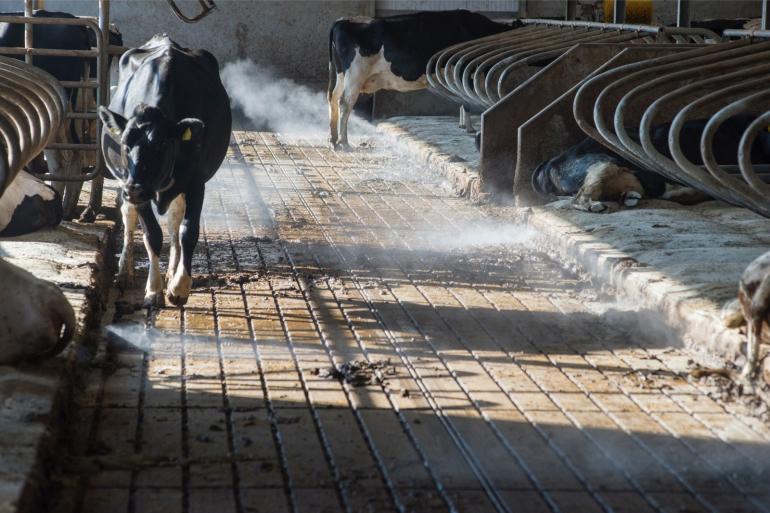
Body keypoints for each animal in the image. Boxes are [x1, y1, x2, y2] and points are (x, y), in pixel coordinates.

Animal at [99, 37, 231, 308]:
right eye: (125, 145)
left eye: (161, 145)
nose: (134, 189)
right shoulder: (134, 187)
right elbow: (152, 235)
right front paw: (153, 289)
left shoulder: (196, 183)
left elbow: (187, 232)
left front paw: (179, 287)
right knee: (128, 216)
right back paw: (125, 271)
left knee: (174, 221)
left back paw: (171, 270)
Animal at [326, 10, 516, 150]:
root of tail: (342, 20)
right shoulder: (464, 70)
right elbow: (466, 100)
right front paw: (469, 127)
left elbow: (462, 98)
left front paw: (463, 125)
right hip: (355, 74)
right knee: (345, 103)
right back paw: (344, 143)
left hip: (340, 74)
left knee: (333, 98)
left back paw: (333, 139)